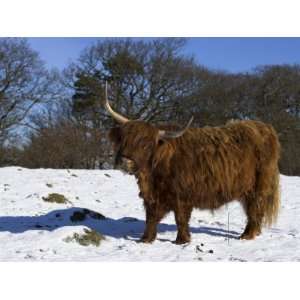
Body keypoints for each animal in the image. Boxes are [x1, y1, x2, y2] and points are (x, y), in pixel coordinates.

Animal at [104, 84, 280, 244]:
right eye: (124, 139)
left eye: (146, 145)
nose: (125, 161)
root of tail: (264, 127)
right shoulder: (154, 197)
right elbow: (151, 217)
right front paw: (146, 239)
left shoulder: (182, 196)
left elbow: (181, 218)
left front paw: (182, 240)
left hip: (258, 186)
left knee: (255, 209)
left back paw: (247, 235)